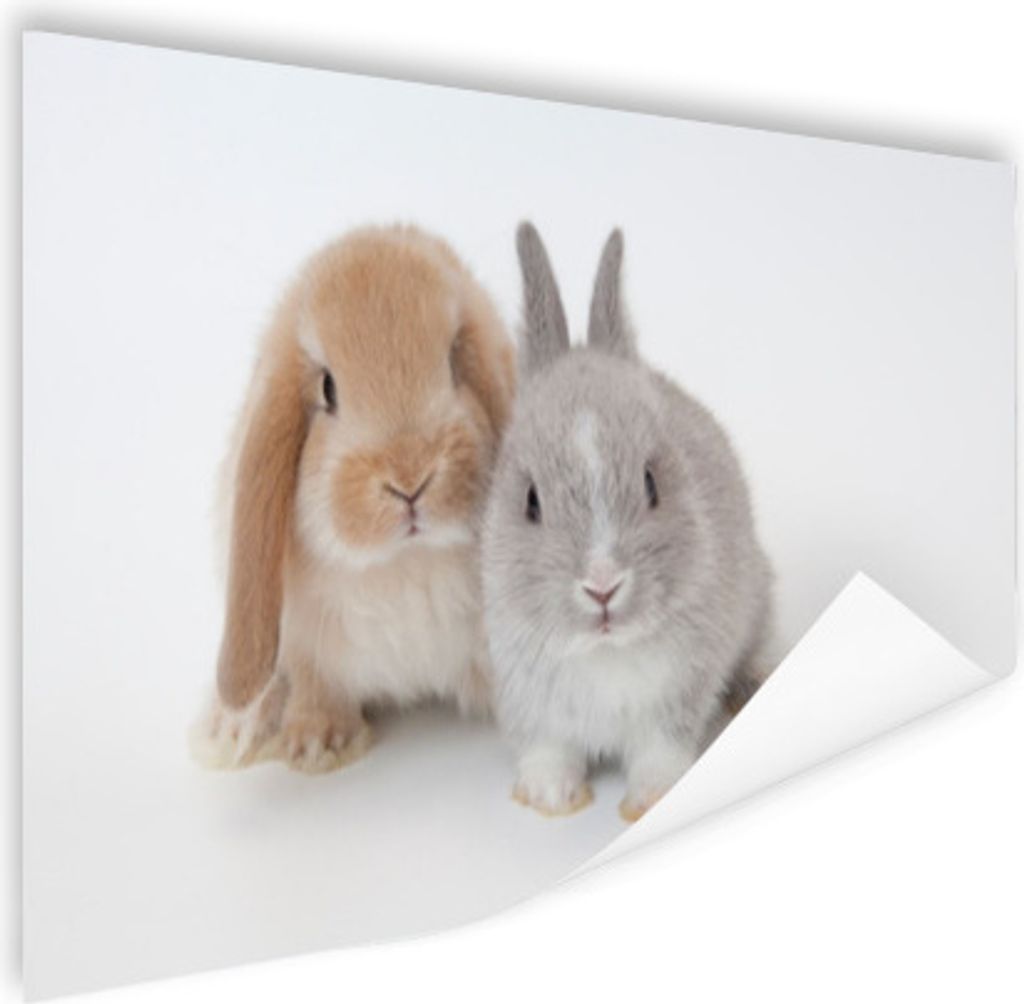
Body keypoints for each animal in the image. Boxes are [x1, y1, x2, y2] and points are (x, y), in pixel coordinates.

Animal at [191, 224, 516, 772]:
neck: (404, 562)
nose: (410, 478)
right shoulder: (308, 645)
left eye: (454, 364)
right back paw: (231, 728)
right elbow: (316, 686)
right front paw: (317, 743)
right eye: (328, 389)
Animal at [481, 223, 773, 822]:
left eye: (651, 483)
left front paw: (652, 801)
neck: (605, 651)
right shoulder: (529, 697)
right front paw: (549, 797)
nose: (602, 586)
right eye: (530, 502)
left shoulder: (678, 696)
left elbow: (660, 752)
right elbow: (548, 748)